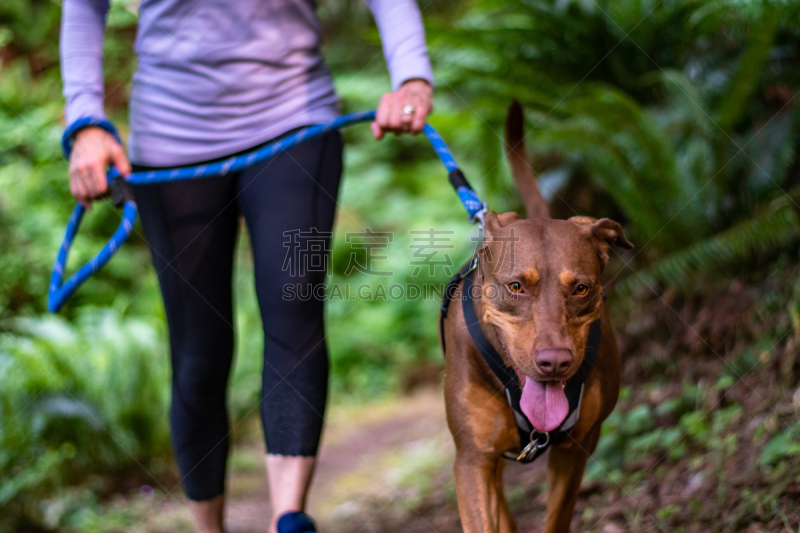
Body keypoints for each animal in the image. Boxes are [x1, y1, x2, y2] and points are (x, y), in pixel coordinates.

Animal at [440, 101, 636, 532]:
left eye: (580, 288)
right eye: (516, 287)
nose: (555, 362)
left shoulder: (577, 446)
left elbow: (557, 516)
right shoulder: (473, 459)